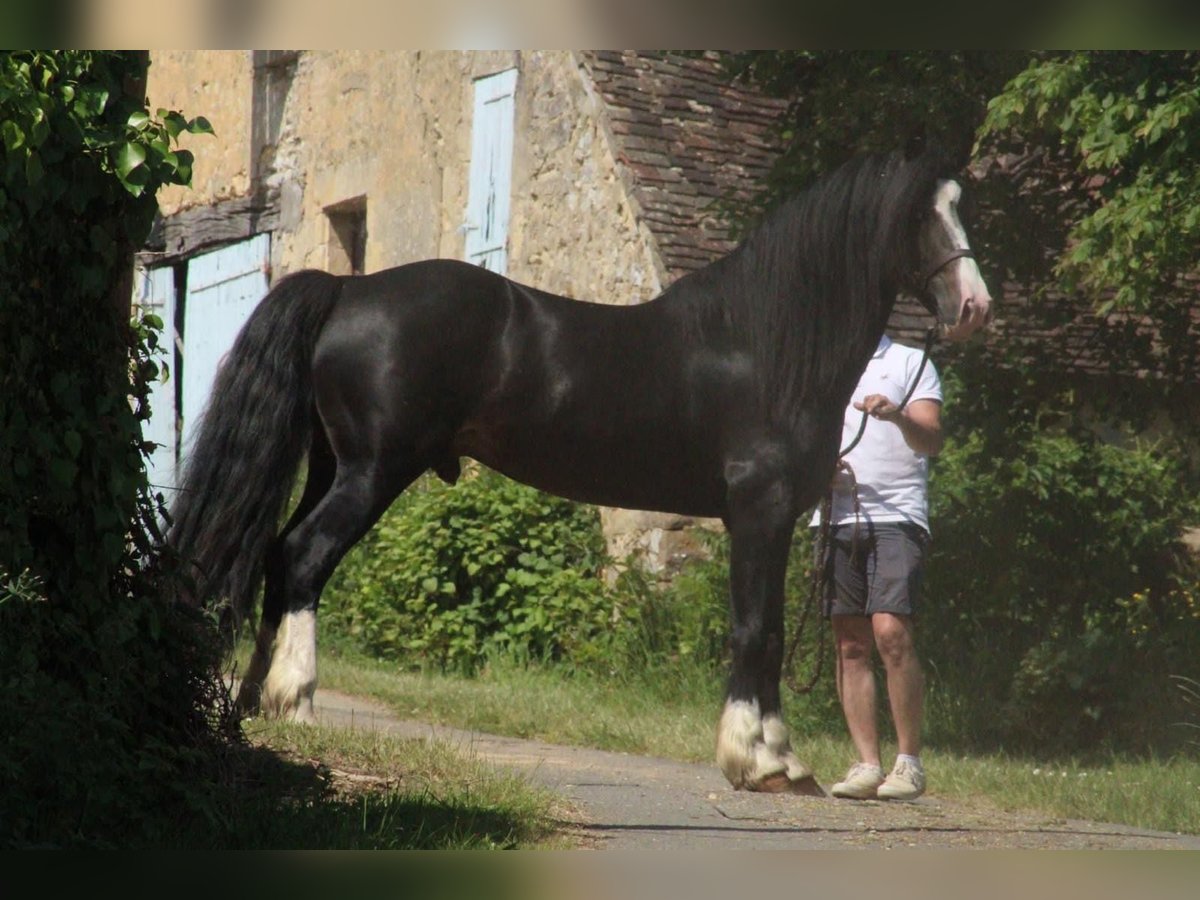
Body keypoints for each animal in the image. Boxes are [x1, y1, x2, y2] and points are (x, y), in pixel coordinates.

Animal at [171, 148, 993, 796]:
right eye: (923, 217)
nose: (975, 307)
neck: (763, 345)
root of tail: (349, 288)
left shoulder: (771, 521)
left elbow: (766, 631)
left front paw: (778, 760)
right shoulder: (759, 512)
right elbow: (756, 630)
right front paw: (757, 760)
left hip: (330, 465)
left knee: (277, 556)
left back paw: (255, 699)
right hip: (372, 471)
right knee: (306, 556)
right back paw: (298, 698)